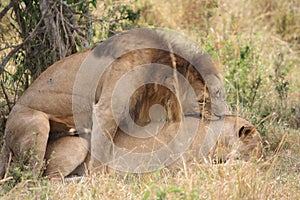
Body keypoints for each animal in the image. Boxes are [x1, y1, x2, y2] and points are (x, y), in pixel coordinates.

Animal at [0, 27, 225, 178]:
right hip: (36, 125)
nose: (222, 114)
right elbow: (102, 151)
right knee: (30, 176)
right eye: (202, 100)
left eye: (220, 92)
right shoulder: (106, 109)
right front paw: (99, 181)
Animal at [44, 115, 262, 178]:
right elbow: (229, 166)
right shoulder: (189, 168)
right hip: (79, 145)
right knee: (49, 180)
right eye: (259, 146)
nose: (263, 159)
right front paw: (251, 166)